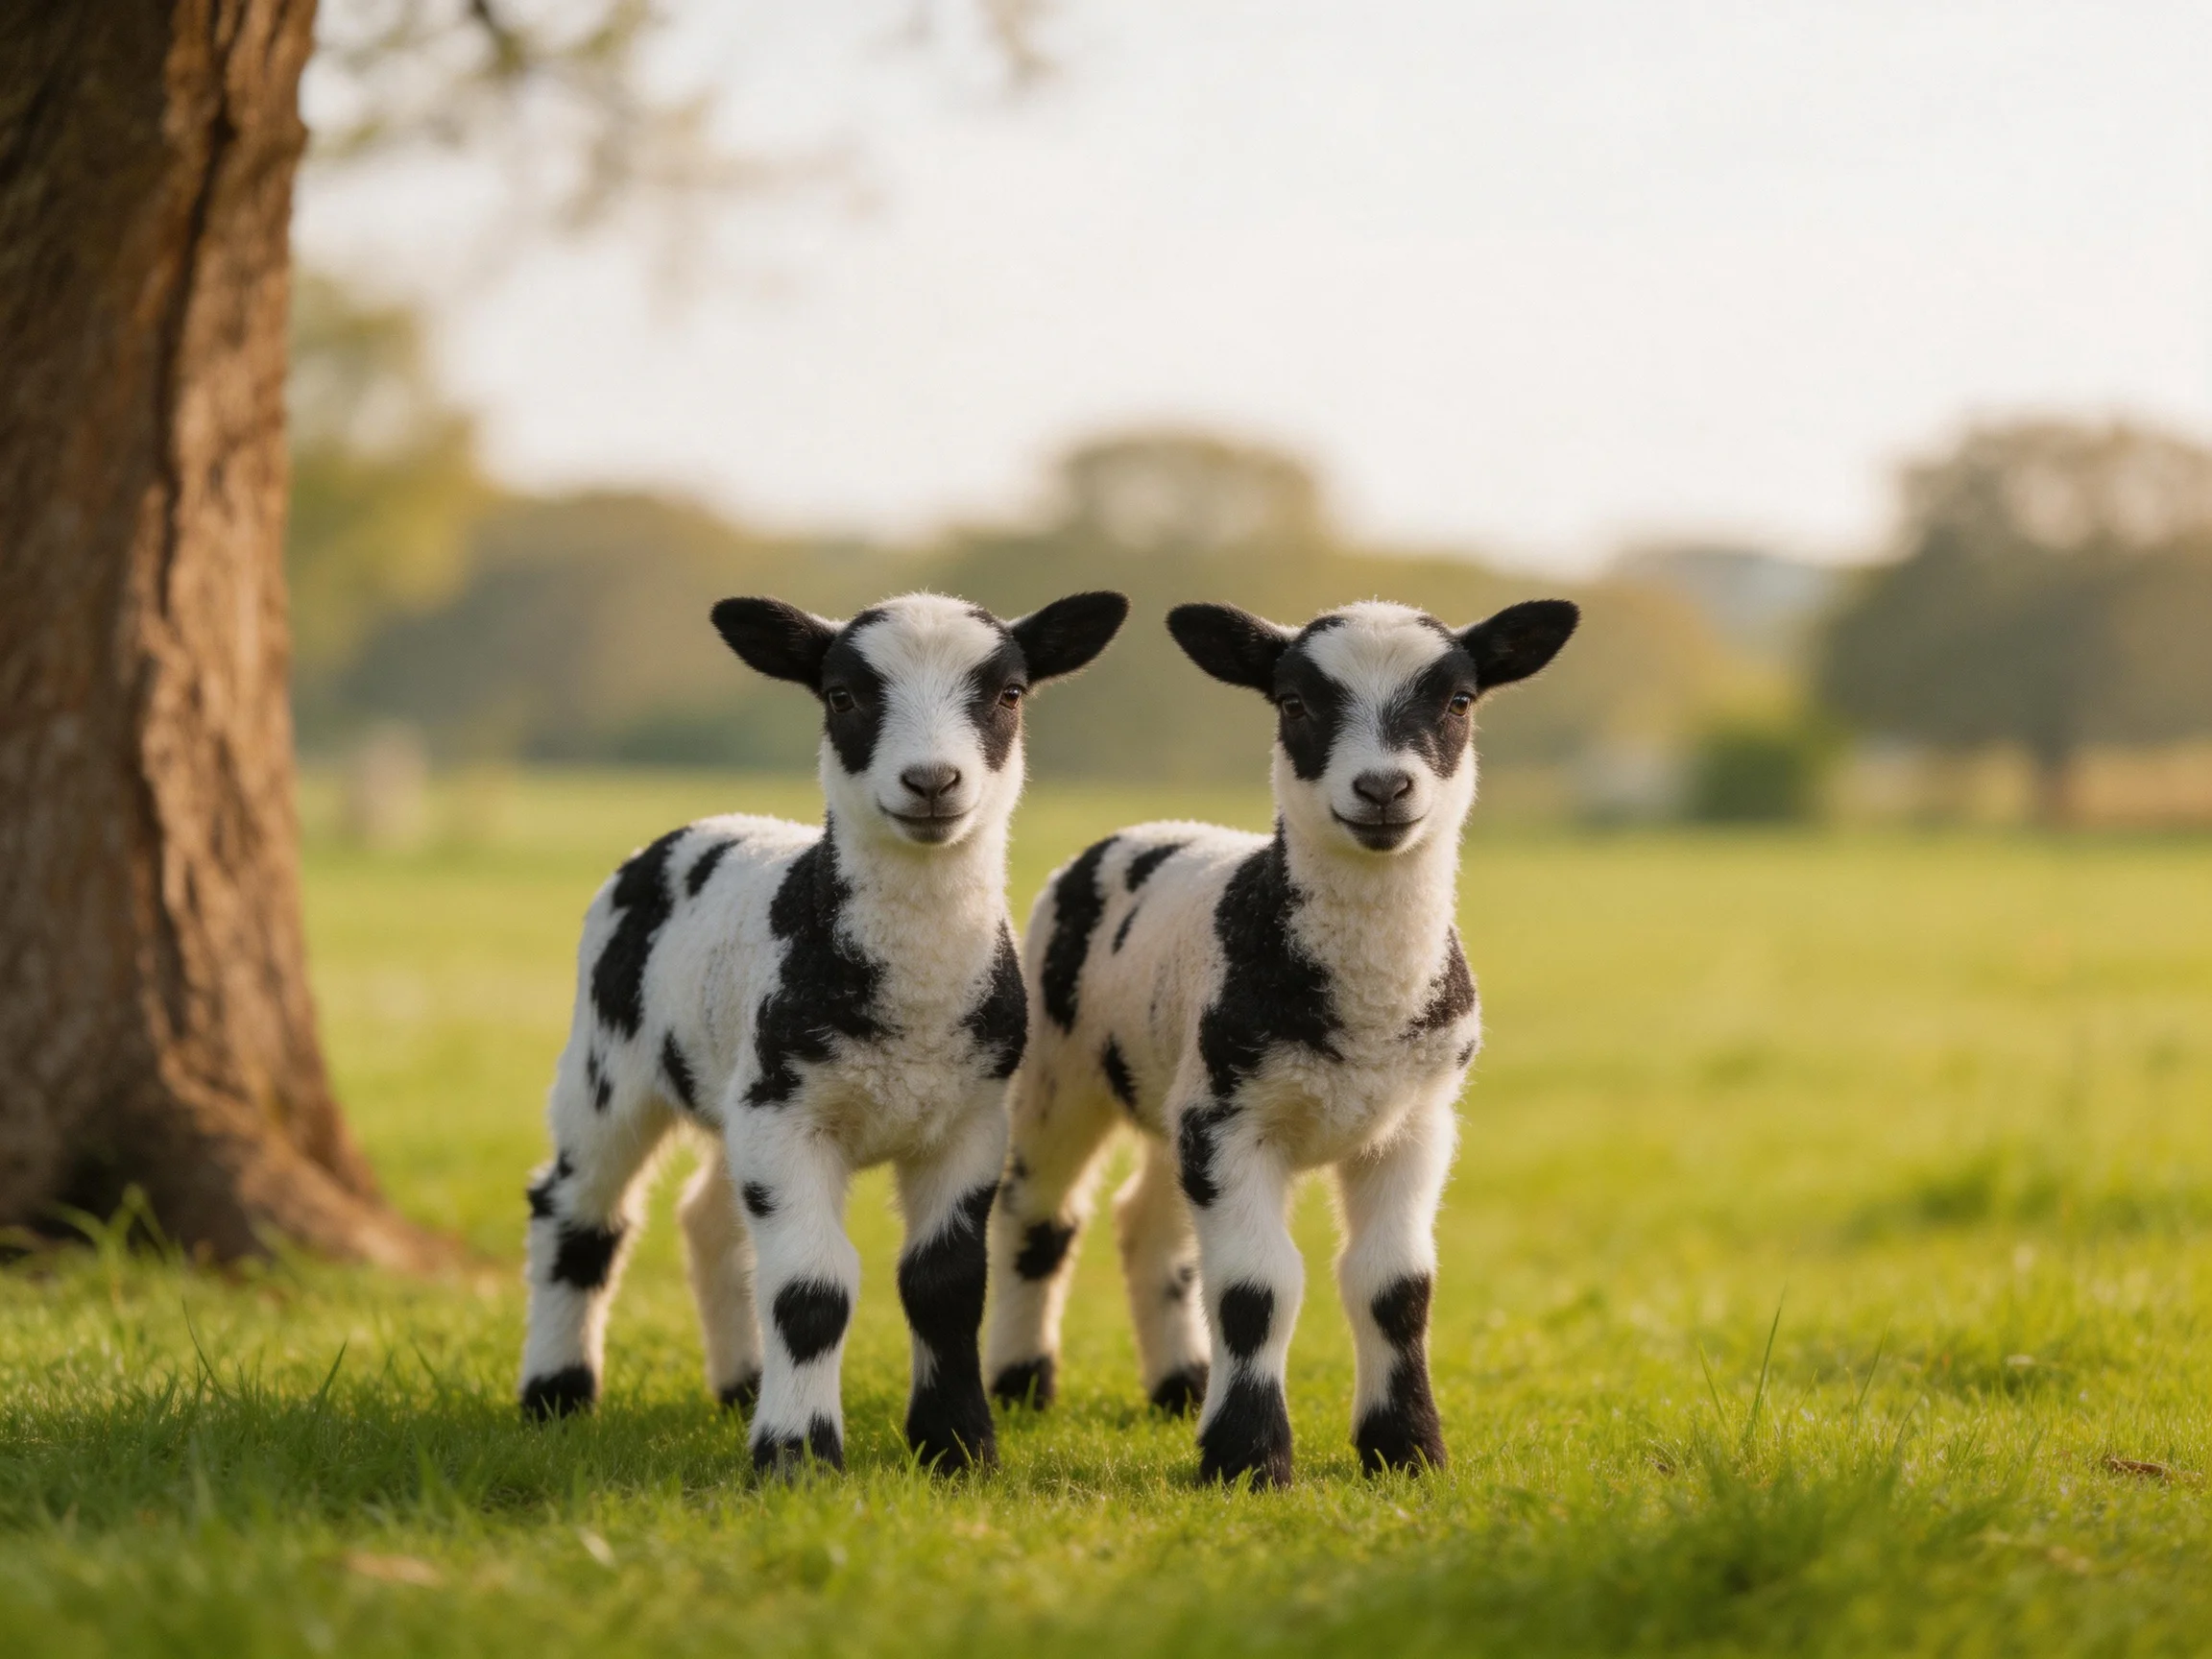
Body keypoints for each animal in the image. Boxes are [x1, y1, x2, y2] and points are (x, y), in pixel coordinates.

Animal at [518, 589, 1130, 1477]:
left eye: (1009, 693)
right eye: (843, 696)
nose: (932, 781)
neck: (912, 1008)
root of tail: (692, 828)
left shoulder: (971, 1121)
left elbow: (946, 1285)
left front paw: (957, 1447)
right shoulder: (788, 1113)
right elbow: (812, 1289)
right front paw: (796, 1456)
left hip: (732, 1086)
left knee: (711, 1221)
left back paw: (740, 1384)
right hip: (609, 1062)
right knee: (577, 1212)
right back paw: (556, 1394)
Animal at [984, 597, 1578, 1486]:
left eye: (1459, 702)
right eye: (1295, 703)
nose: (1382, 787)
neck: (1369, 1011)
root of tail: (1142, 828)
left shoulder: (1415, 1123)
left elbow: (1395, 1286)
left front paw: (1407, 1449)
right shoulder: (1233, 1123)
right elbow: (1254, 1288)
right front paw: (1247, 1459)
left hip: (1175, 1093)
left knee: (1150, 1223)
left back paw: (1180, 1385)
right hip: (1064, 1071)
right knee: (1040, 1214)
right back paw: (1023, 1383)